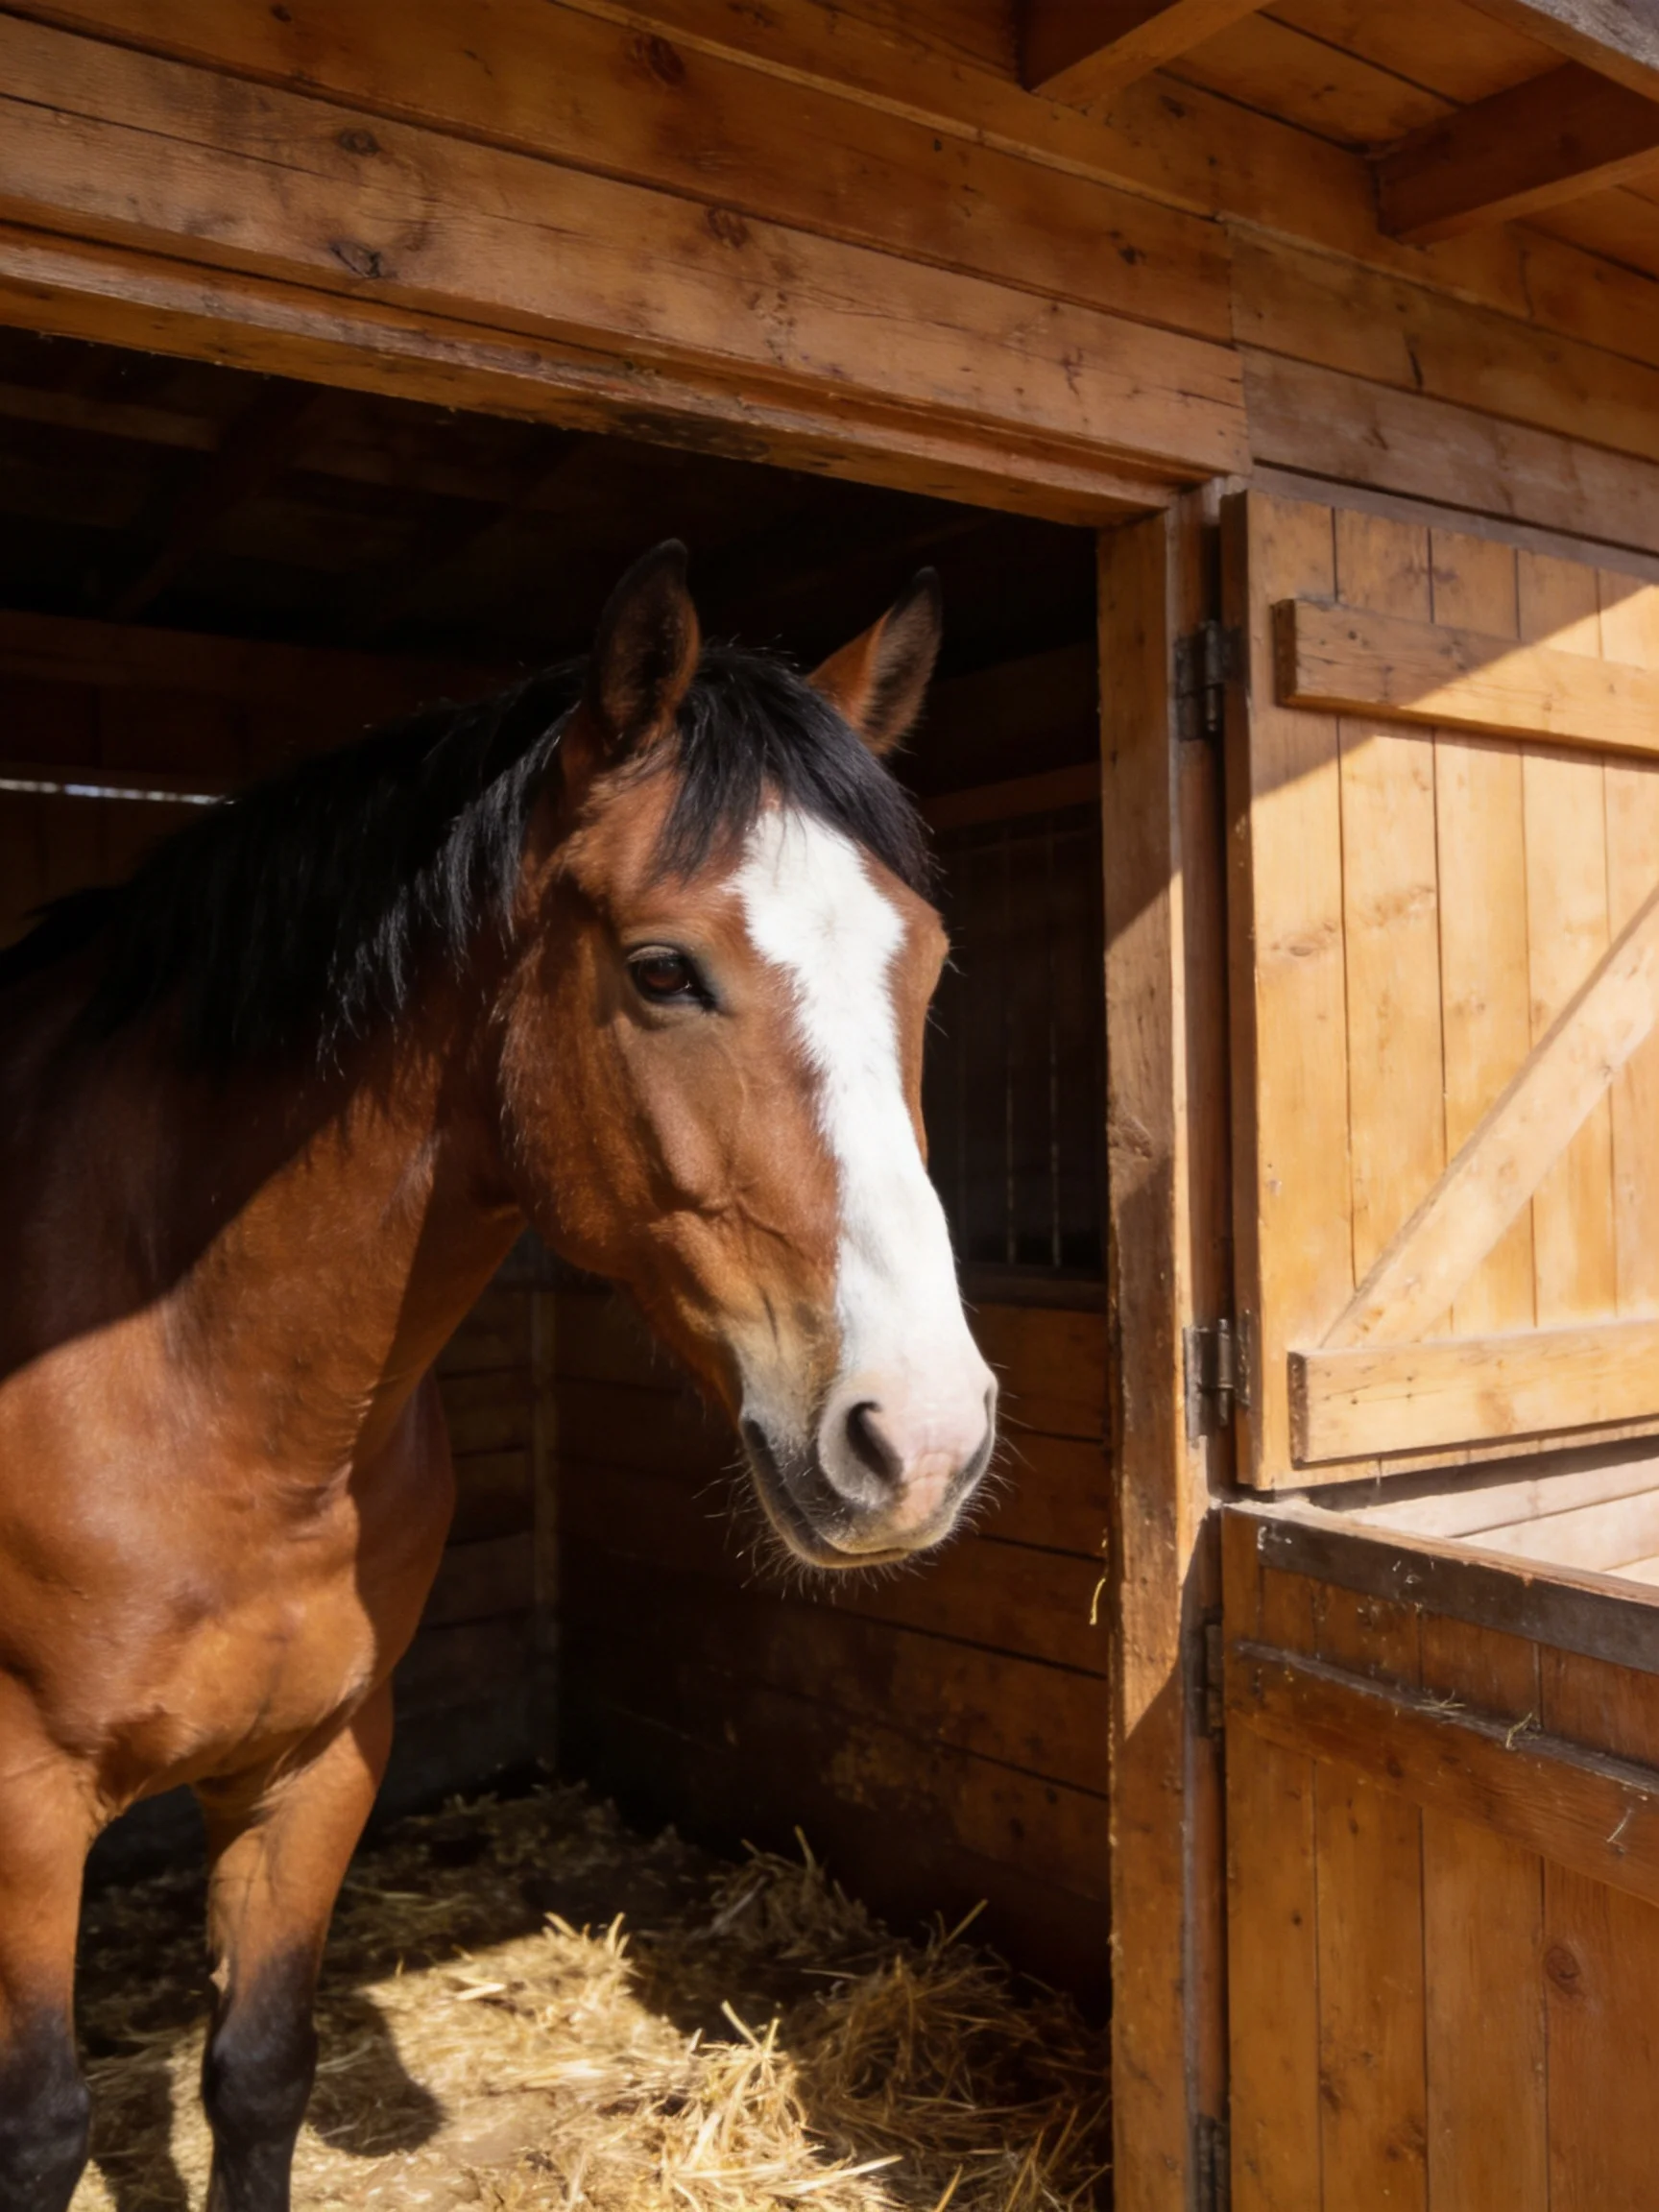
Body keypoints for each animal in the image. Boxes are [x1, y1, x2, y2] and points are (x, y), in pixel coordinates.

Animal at [0, 541, 997, 2210]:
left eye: (920, 965)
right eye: (662, 971)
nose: (918, 1442)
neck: (212, 1399)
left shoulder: (320, 1765)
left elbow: (255, 2074)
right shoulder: (21, 1802)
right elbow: (42, 2130)